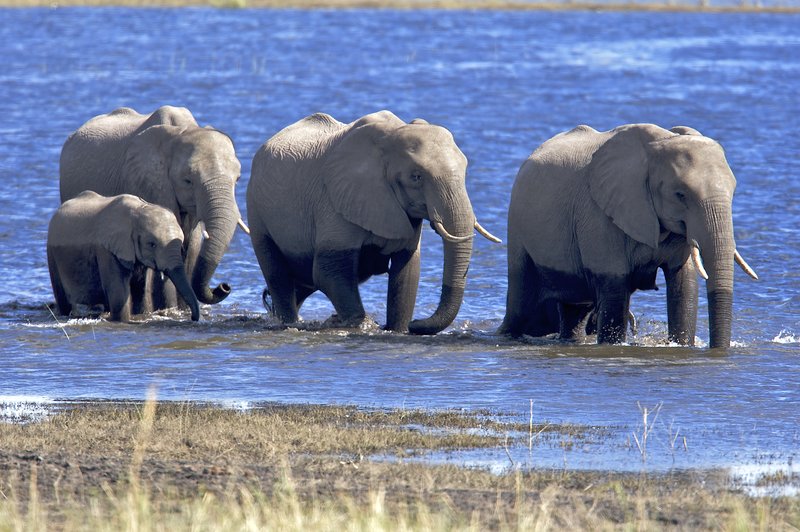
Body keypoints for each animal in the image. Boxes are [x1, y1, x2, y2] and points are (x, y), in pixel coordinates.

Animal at [47, 191, 200, 322]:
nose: (193, 318)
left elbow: (141, 290)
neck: (139, 210)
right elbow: (118, 292)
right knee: (63, 299)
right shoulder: (106, 249)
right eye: (151, 244)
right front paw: (122, 321)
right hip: (51, 253)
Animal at [59, 105, 247, 313]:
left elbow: (191, 246)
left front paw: (183, 310)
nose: (224, 286)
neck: (181, 132)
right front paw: (168, 310)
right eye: (187, 181)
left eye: (237, 179)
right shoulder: (145, 183)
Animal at [246, 111, 501, 334]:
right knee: (278, 273)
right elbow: (329, 270)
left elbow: (408, 269)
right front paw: (366, 327)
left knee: (303, 280)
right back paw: (286, 321)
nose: (417, 323)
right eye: (416, 177)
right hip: (257, 210)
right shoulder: (333, 201)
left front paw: (398, 330)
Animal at [499, 123, 757, 348]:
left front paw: (683, 346)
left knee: (575, 308)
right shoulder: (597, 214)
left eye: (733, 191)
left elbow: (684, 285)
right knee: (521, 302)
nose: (719, 350)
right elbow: (615, 286)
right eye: (680, 194)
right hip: (518, 228)